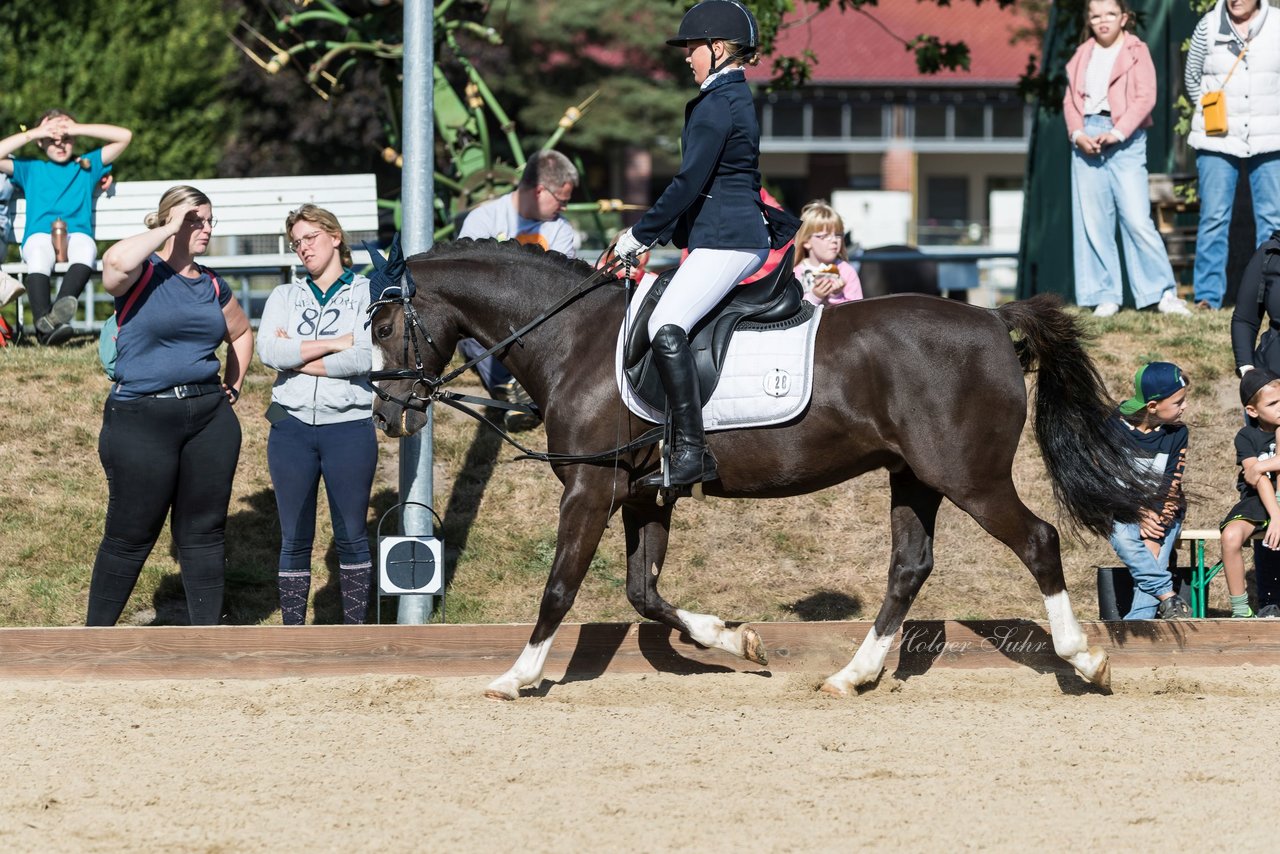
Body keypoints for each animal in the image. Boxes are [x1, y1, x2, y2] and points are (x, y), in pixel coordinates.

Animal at [371, 240, 1152, 701]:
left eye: (382, 327)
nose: (388, 417)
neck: (575, 340)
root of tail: (992, 319)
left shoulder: (591, 491)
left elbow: (561, 588)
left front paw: (517, 675)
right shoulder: (644, 496)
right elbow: (644, 594)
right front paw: (735, 640)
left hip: (970, 478)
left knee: (1038, 542)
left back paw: (1084, 661)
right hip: (915, 477)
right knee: (909, 567)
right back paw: (853, 675)